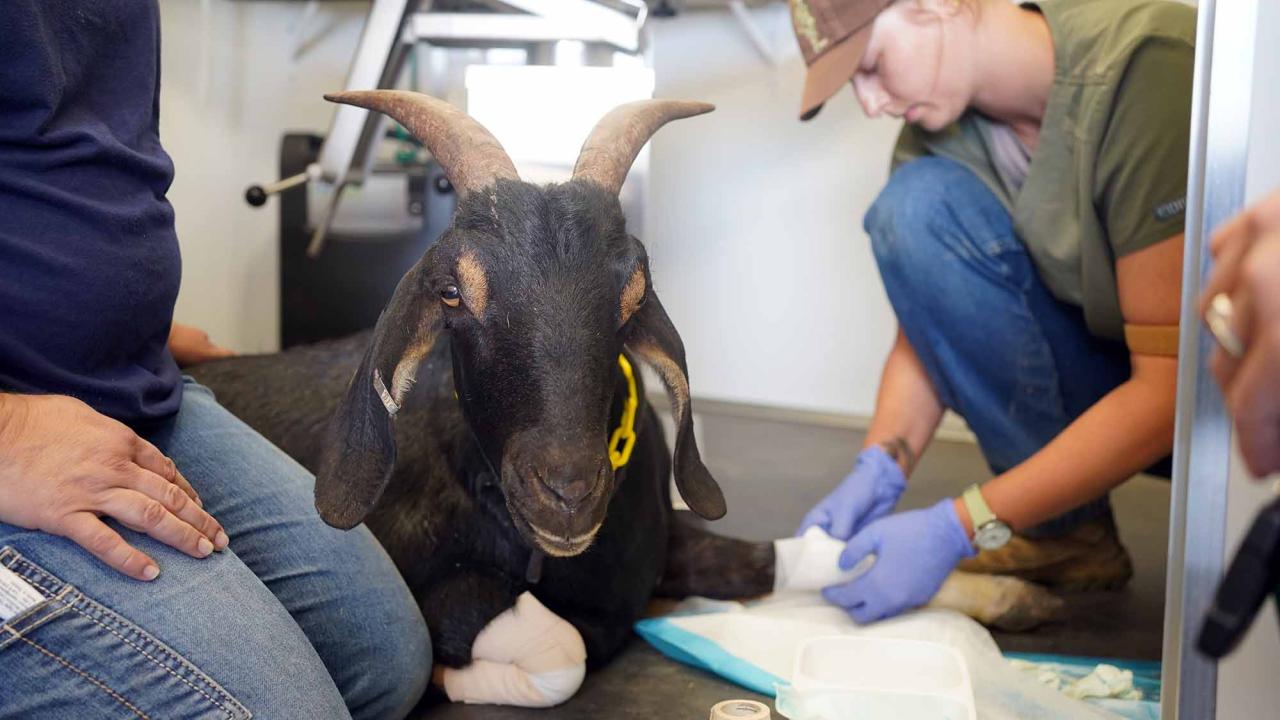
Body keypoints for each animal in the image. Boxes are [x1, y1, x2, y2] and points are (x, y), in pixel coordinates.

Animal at [188, 92, 768, 702]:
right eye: (451, 293)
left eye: (635, 298)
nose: (568, 494)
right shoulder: (439, 588)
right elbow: (557, 647)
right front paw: (458, 678)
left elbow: (763, 560)